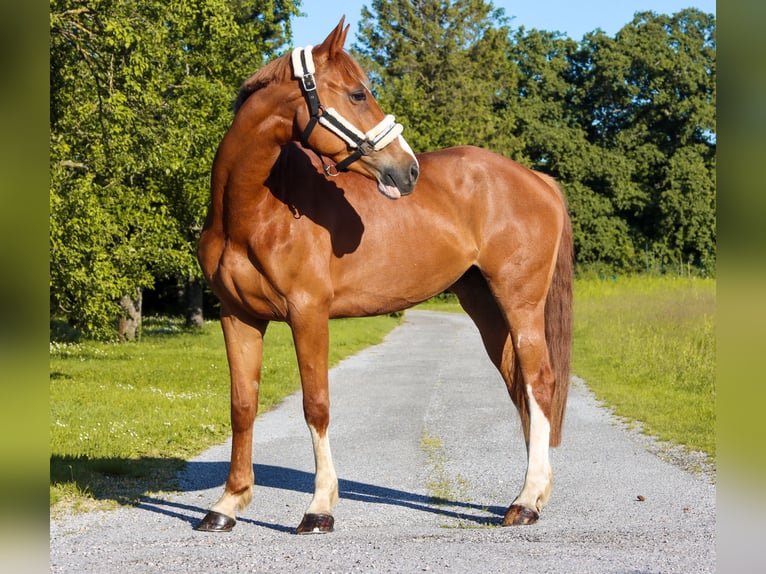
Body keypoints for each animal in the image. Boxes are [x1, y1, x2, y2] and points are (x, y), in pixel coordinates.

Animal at [195, 21, 572, 536]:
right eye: (357, 94)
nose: (407, 169)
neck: (254, 210)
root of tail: (538, 178)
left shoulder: (307, 313)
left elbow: (316, 404)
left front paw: (319, 508)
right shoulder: (237, 317)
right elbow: (242, 407)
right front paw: (227, 504)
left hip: (521, 303)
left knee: (539, 383)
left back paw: (527, 501)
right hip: (486, 308)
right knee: (521, 387)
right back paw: (534, 493)